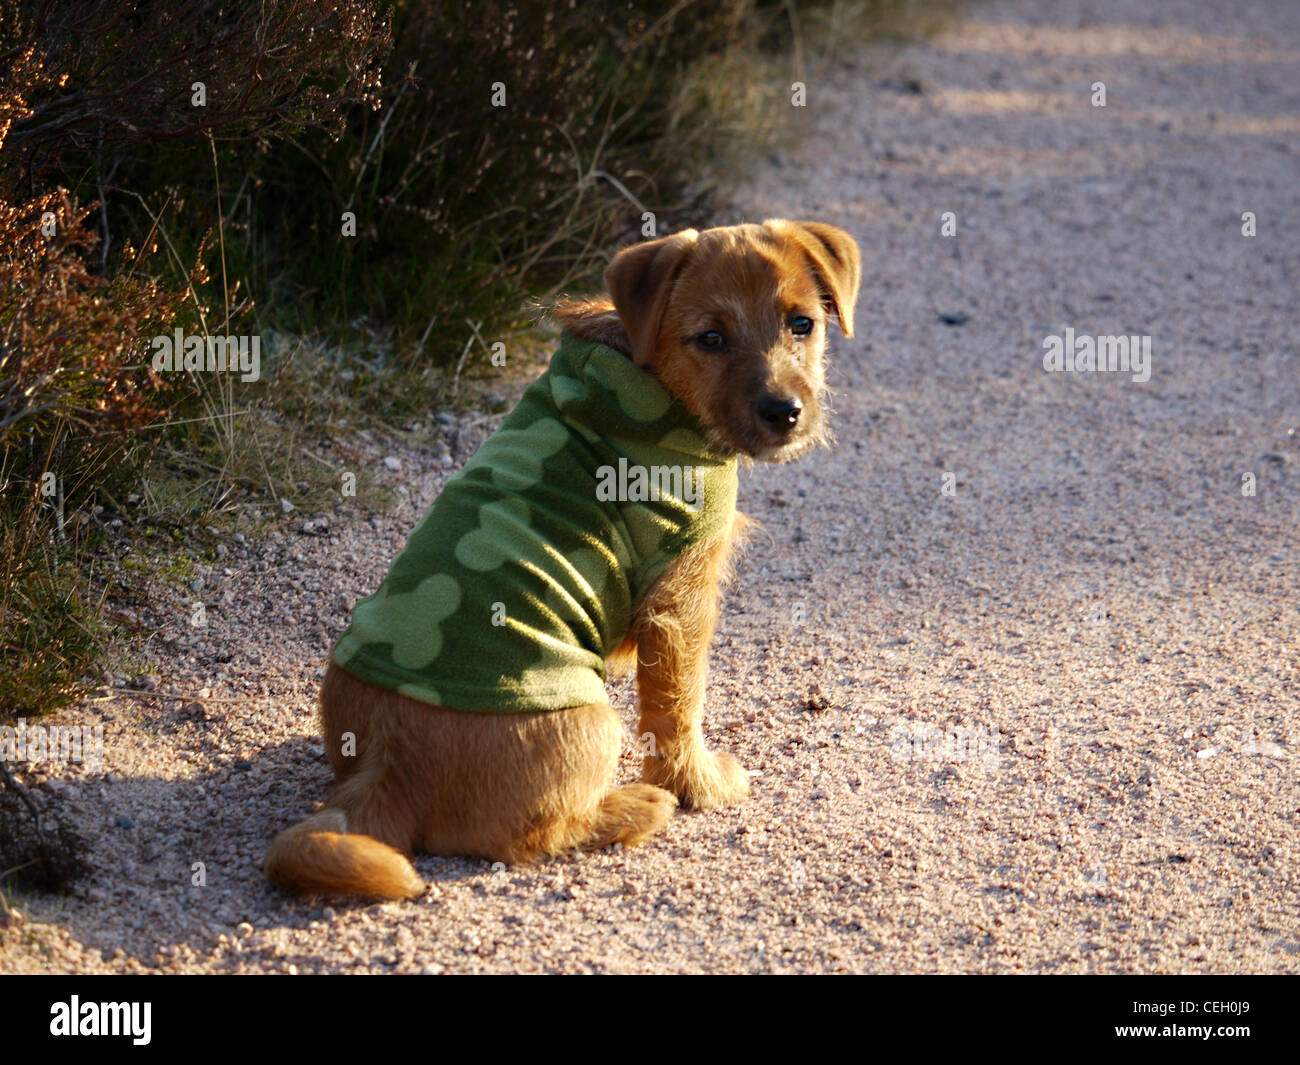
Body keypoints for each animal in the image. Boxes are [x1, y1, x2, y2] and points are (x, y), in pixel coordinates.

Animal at [263, 218, 857, 899]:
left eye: (801, 323)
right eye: (710, 337)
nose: (785, 413)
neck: (653, 379)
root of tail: (387, 764)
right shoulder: (680, 602)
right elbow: (679, 707)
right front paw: (700, 785)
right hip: (590, 722)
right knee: (534, 836)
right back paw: (637, 807)